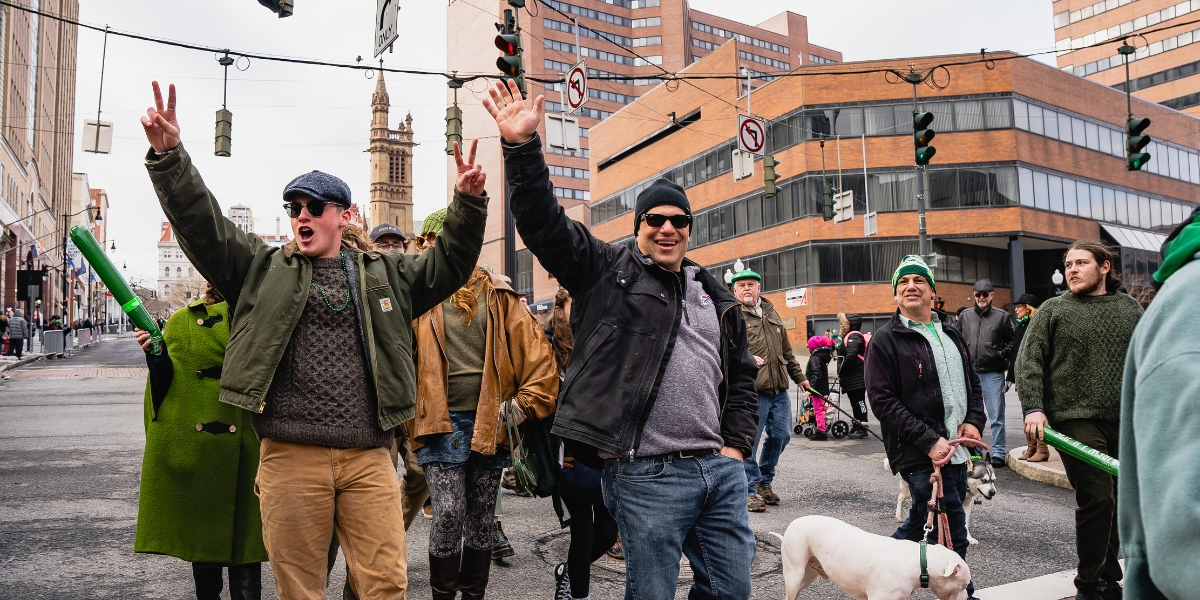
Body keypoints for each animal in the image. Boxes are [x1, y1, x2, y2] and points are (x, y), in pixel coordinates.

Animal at [768, 516, 974, 600]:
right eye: (962, 586)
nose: (966, 598)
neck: (920, 562)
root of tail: (792, 524)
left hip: (809, 574)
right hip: (795, 573)